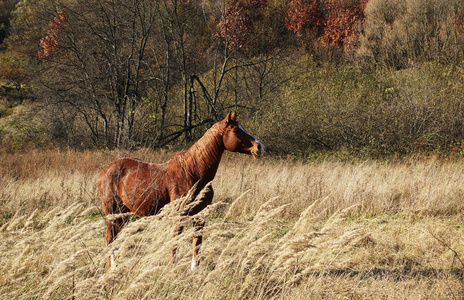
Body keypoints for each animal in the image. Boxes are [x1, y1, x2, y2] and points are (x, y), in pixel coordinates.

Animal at [97, 112, 264, 270]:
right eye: (235, 130)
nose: (259, 146)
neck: (193, 170)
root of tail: (104, 170)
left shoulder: (200, 214)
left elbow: (197, 242)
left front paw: (195, 269)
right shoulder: (179, 215)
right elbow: (176, 241)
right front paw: (172, 267)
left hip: (123, 213)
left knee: (115, 237)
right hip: (112, 211)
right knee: (110, 237)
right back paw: (113, 268)